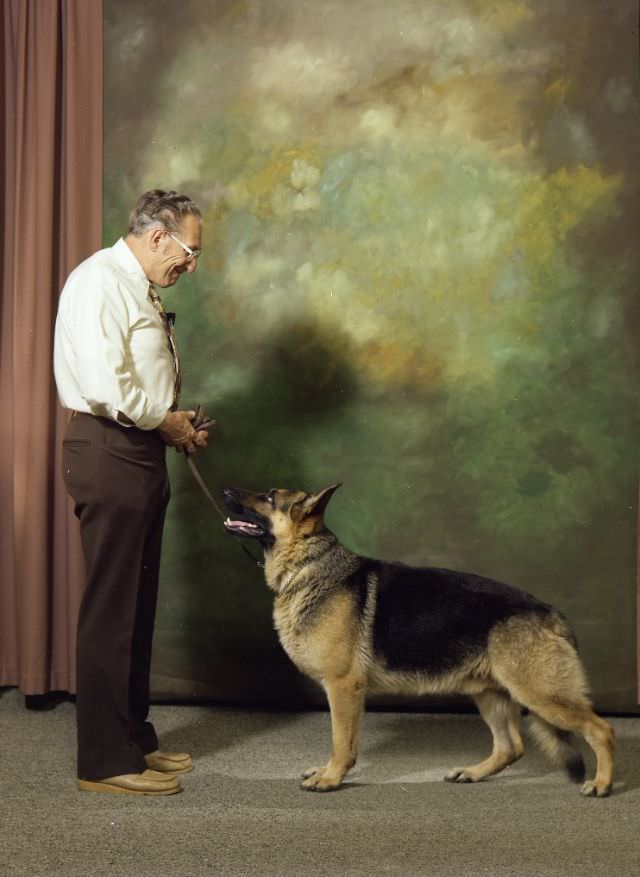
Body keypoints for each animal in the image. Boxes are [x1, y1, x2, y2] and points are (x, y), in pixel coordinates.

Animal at [222, 482, 612, 796]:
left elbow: (341, 740)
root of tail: (552, 613)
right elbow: (342, 740)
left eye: (269, 496)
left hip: (540, 694)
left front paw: (331, 778)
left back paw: (602, 784)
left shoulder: (343, 688)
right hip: (491, 695)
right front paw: (328, 772)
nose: (225, 490)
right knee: (511, 747)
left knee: (601, 729)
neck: (307, 563)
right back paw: (473, 773)